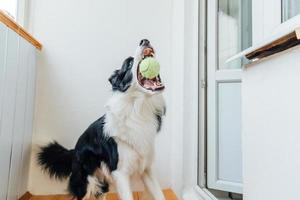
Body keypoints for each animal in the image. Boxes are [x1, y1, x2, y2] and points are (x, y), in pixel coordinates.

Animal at [37, 39, 166, 200]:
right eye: (129, 63)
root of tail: (74, 150)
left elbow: (160, 195)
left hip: (101, 181)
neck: (137, 109)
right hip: (86, 181)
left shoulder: (146, 169)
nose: (145, 40)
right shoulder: (120, 172)